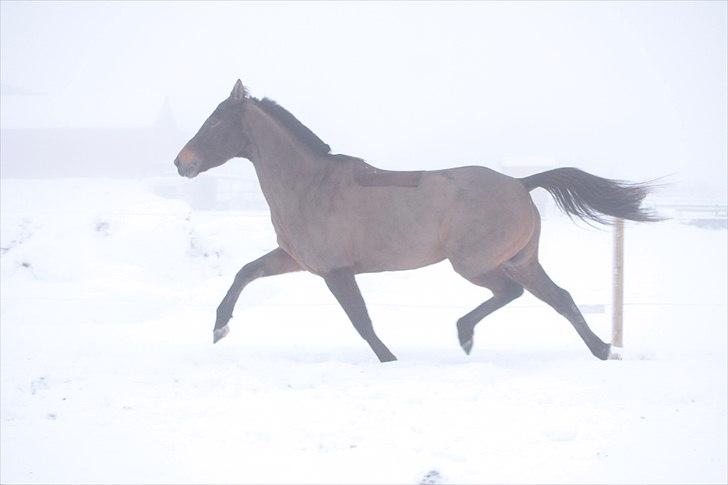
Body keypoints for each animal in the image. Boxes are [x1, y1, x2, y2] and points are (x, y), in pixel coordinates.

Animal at [172, 79, 660, 362]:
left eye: (215, 121)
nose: (181, 163)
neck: (309, 184)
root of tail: (522, 184)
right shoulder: (296, 260)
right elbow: (245, 272)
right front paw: (219, 327)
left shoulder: (335, 271)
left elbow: (362, 321)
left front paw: (390, 360)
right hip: (522, 260)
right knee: (561, 299)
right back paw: (603, 350)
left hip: (475, 263)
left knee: (512, 293)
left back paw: (465, 334)